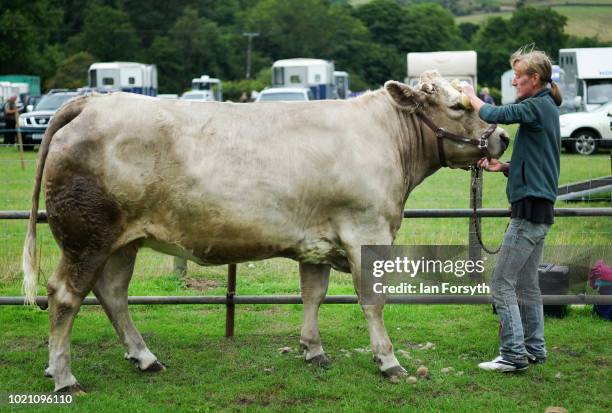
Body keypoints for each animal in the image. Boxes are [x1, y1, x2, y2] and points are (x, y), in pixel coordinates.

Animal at [21, 69, 510, 392]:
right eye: (458, 106)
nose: (502, 137)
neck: (387, 139)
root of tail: (92, 100)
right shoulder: (366, 232)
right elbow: (373, 301)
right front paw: (388, 361)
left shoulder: (318, 241)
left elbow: (313, 294)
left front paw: (313, 350)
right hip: (86, 238)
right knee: (64, 295)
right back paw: (64, 376)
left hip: (124, 241)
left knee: (113, 293)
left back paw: (144, 358)